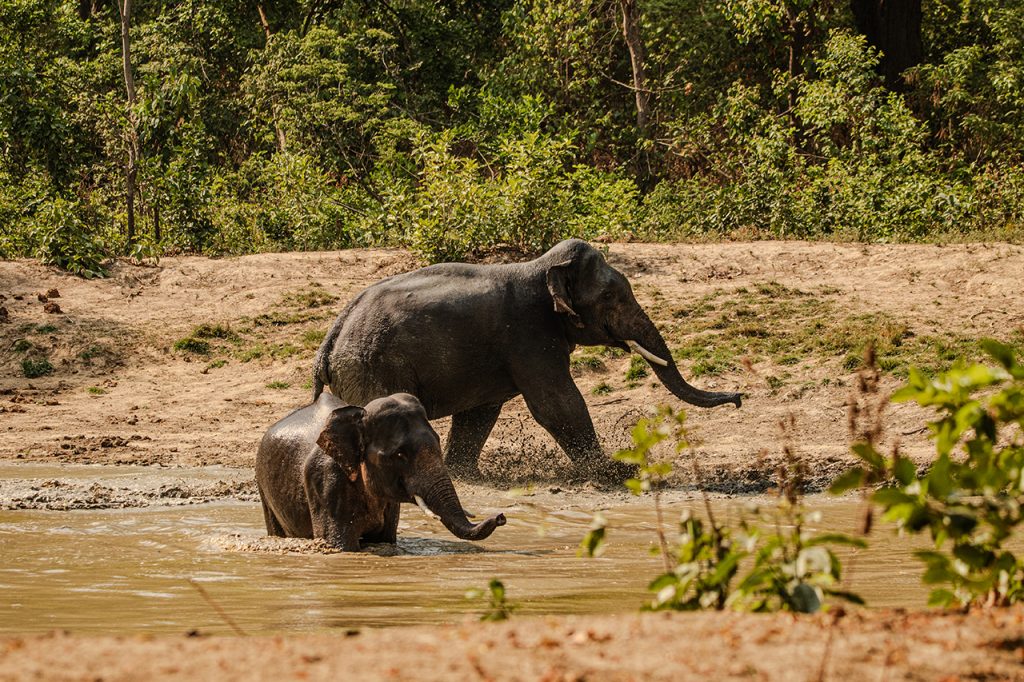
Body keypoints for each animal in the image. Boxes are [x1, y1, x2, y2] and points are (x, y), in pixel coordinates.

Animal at [255, 391, 506, 550]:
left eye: (437, 441)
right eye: (399, 455)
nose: (500, 516)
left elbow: (384, 540)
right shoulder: (325, 482)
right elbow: (339, 544)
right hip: (263, 485)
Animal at [311, 238, 741, 481]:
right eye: (610, 297)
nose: (738, 397)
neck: (538, 267)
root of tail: (330, 339)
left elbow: (480, 414)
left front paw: (467, 473)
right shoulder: (529, 336)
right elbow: (557, 405)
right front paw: (615, 472)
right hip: (371, 369)